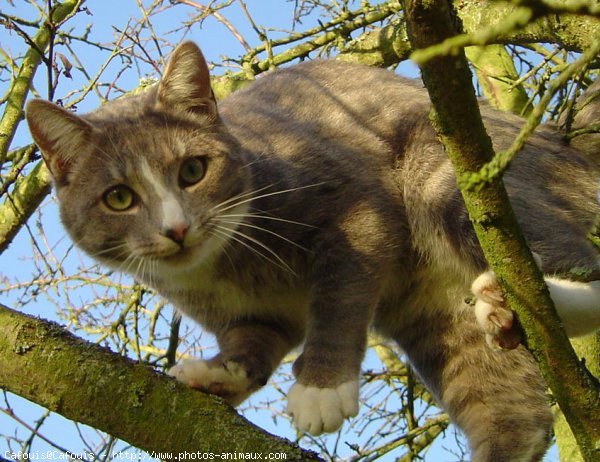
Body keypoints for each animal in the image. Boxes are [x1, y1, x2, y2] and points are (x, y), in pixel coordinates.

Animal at [23, 41, 600, 460]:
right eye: (118, 197)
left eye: (192, 170)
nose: (177, 229)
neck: (229, 266)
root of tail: (564, 137)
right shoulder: (251, 314)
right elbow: (253, 340)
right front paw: (217, 374)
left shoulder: (357, 204)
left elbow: (339, 294)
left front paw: (321, 390)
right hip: (439, 318)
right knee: (513, 413)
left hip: (447, 167)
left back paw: (524, 297)